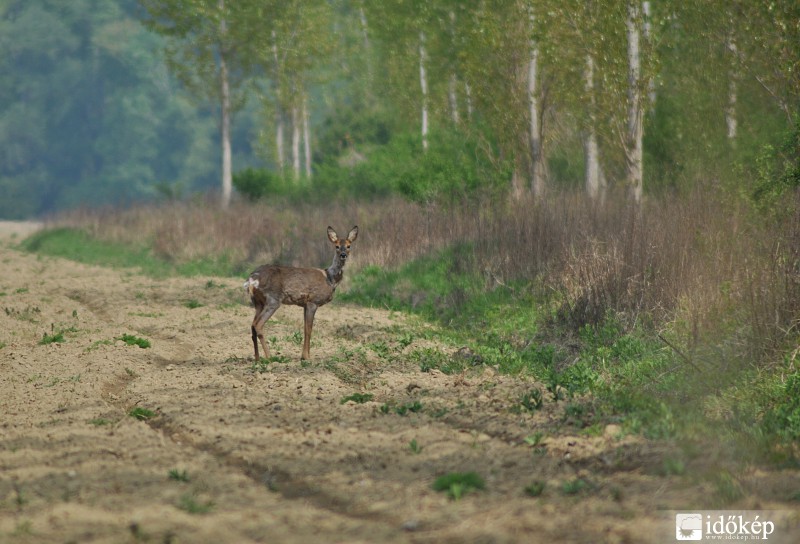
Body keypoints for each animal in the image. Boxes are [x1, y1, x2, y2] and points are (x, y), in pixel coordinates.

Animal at [242, 225, 358, 362]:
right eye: (337, 246)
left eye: (349, 245)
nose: (343, 255)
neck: (330, 278)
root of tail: (252, 279)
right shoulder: (313, 301)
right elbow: (309, 329)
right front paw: (306, 357)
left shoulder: (305, 304)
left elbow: (304, 328)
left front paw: (305, 355)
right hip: (273, 300)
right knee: (258, 325)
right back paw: (270, 357)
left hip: (258, 302)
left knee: (252, 325)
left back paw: (257, 358)